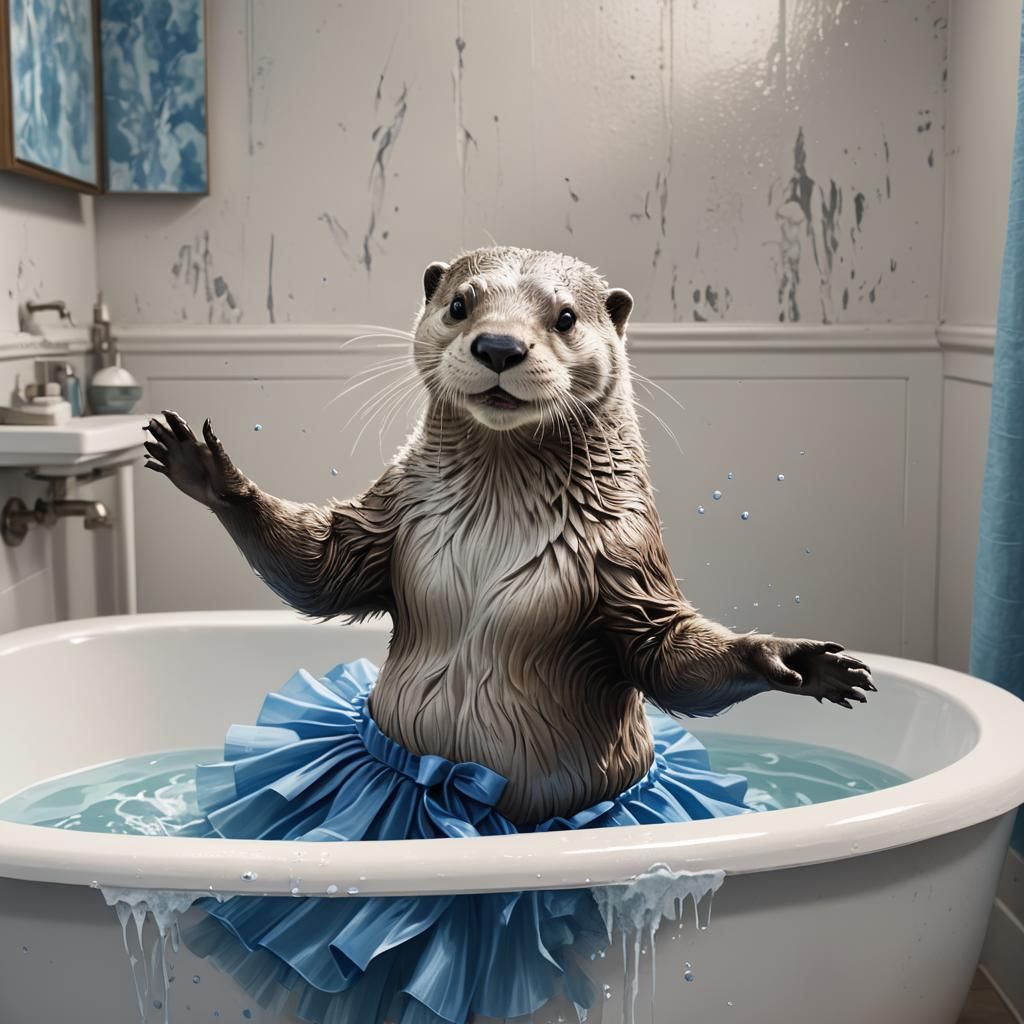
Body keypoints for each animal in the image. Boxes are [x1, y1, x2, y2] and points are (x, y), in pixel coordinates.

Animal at [144, 246, 873, 827]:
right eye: (460, 304)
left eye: (566, 318)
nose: (499, 346)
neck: (495, 522)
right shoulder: (391, 513)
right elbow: (322, 572)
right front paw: (212, 475)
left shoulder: (627, 552)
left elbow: (662, 652)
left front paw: (789, 658)